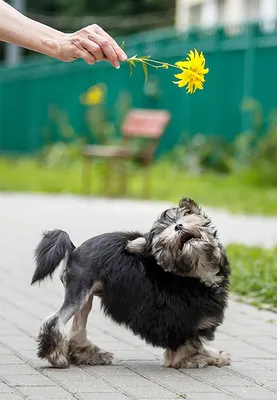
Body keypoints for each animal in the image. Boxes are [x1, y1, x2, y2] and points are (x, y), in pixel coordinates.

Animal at [31, 197, 230, 368]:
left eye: (184, 216)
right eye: (162, 233)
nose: (178, 226)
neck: (192, 276)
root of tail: (73, 250)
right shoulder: (177, 324)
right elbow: (191, 347)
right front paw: (205, 357)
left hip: (85, 293)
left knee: (77, 327)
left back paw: (89, 354)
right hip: (79, 290)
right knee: (54, 320)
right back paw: (57, 357)